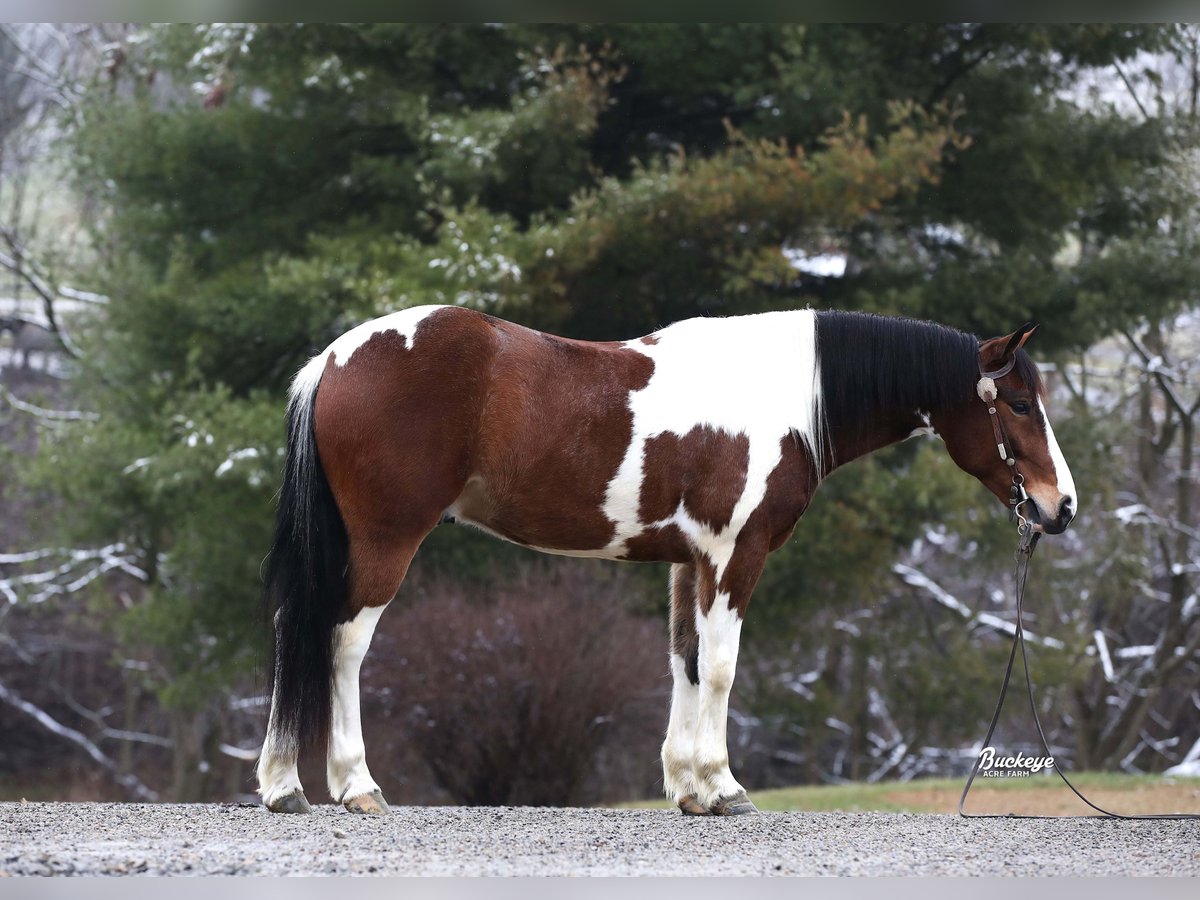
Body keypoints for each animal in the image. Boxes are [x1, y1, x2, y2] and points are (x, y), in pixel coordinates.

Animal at [255, 307, 1080, 820]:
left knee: (293, 632)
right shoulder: (735, 554)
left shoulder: (691, 561)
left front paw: (688, 789)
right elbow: (719, 668)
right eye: (1015, 402)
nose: (1061, 506)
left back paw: (283, 786)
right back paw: (355, 786)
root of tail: (332, 360)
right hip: (386, 539)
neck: (780, 395)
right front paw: (723, 786)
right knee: (341, 644)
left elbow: (686, 660)